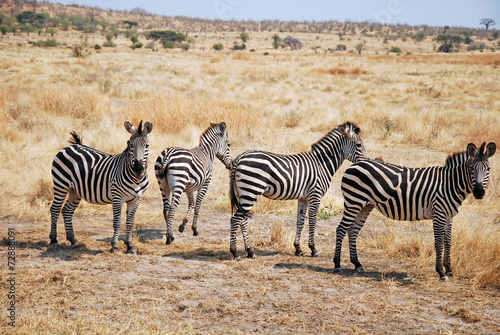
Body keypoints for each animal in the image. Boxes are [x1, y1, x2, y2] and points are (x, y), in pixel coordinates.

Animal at [50, 121, 153, 255]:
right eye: (130, 145)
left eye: (147, 146)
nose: (138, 169)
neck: (136, 179)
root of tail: (71, 146)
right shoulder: (117, 197)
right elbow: (117, 222)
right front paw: (114, 246)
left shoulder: (136, 199)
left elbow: (130, 223)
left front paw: (130, 246)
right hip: (60, 184)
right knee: (55, 209)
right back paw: (53, 240)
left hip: (75, 190)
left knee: (67, 210)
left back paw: (73, 240)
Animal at [229, 122, 368, 262]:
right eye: (359, 145)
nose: (367, 162)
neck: (321, 164)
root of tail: (240, 156)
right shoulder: (315, 195)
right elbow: (312, 221)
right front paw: (313, 249)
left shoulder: (303, 198)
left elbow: (300, 222)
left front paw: (298, 249)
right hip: (251, 191)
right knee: (235, 220)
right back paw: (235, 253)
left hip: (243, 193)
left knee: (242, 220)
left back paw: (250, 251)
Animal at [334, 142, 494, 280]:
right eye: (472, 168)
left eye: (488, 169)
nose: (479, 193)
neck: (450, 184)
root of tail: (355, 164)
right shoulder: (439, 214)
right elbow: (438, 242)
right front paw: (441, 272)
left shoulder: (449, 216)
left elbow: (448, 241)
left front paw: (449, 269)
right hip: (353, 201)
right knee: (341, 229)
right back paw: (337, 265)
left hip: (365, 205)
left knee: (353, 230)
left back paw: (357, 263)